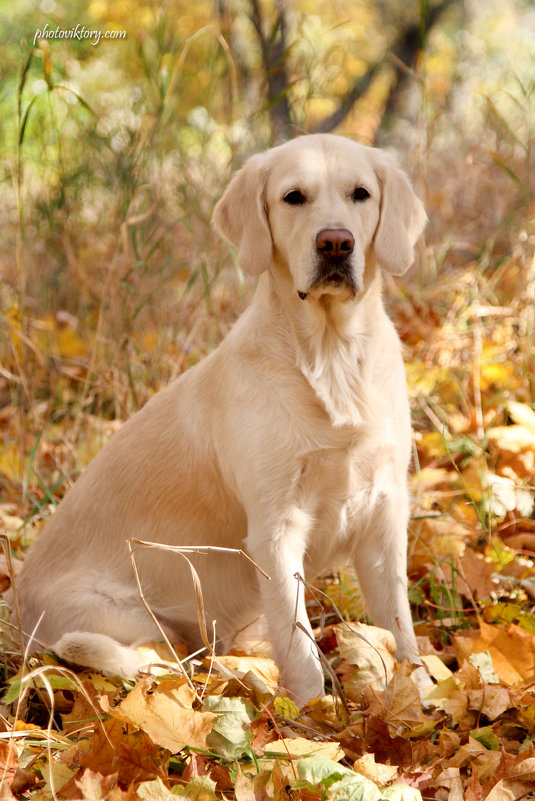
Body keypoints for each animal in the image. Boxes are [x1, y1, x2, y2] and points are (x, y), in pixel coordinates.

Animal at [11, 134, 428, 704]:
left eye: (360, 193)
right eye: (293, 197)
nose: (336, 243)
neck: (332, 355)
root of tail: (15, 620)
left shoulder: (384, 514)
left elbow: (400, 625)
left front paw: (424, 695)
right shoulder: (276, 528)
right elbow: (298, 646)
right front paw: (313, 715)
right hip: (131, 620)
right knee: (161, 665)